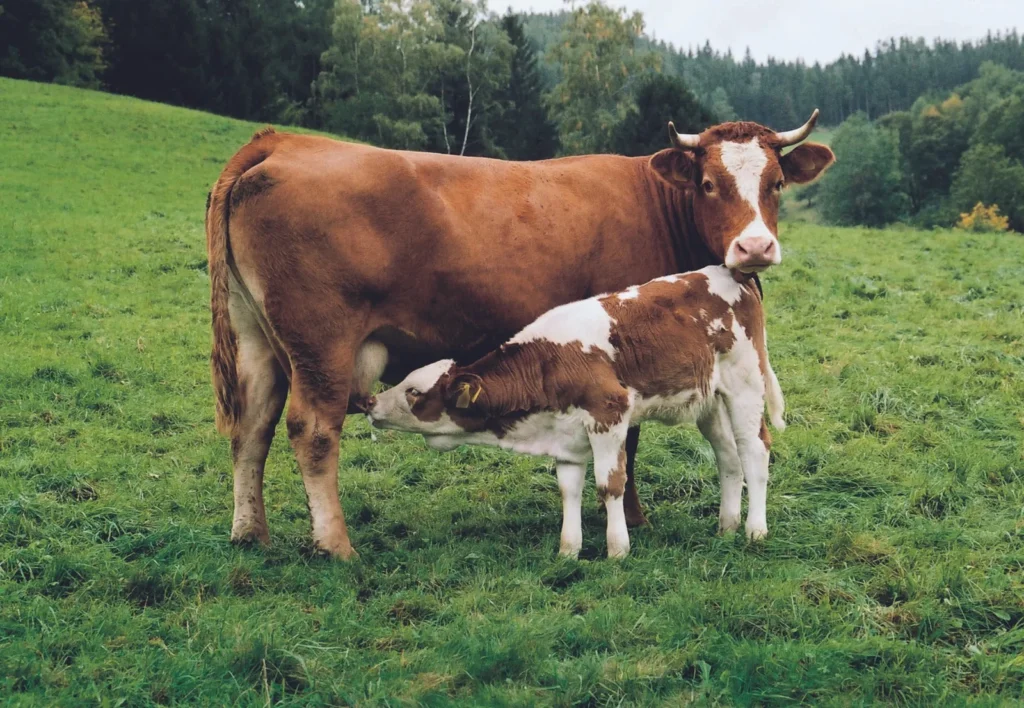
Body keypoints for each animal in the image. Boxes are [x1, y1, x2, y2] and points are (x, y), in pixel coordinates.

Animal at [365, 265, 785, 558]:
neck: (550, 362)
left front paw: (617, 549)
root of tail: (729, 273)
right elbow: (569, 489)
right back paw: (726, 526)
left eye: (414, 391)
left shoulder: (609, 412)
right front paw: (568, 550)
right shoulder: (566, 436)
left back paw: (755, 530)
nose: (369, 402)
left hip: (745, 384)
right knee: (728, 456)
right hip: (710, 400)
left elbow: (609, 484)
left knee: (754, 449)